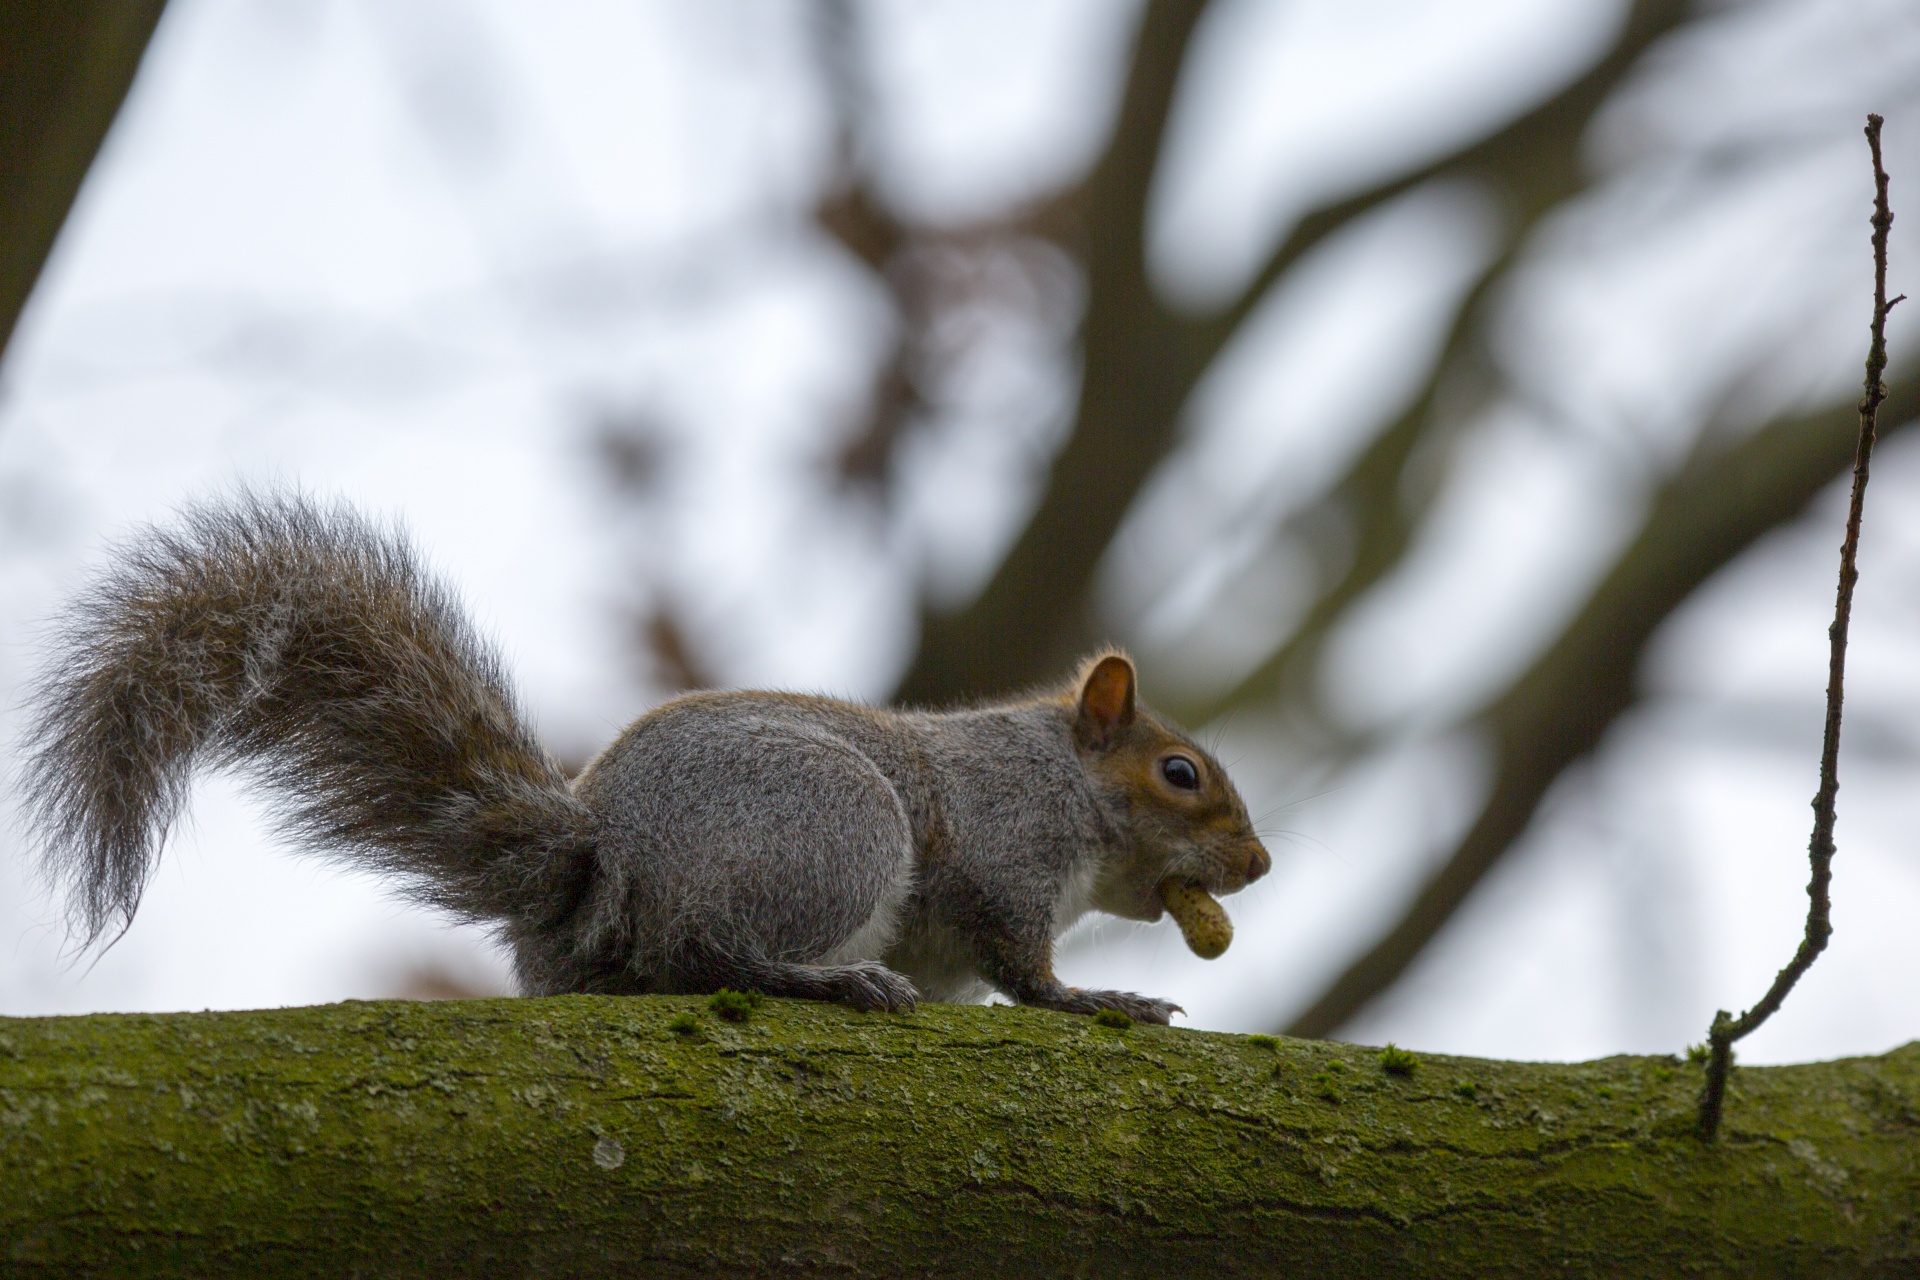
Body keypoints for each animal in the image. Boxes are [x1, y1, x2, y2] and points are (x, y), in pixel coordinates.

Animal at [22, 495, 1274, 1028]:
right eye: (1180, 774)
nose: (1258, 864)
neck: (1063, 774)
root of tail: (602, 865)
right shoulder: (1010, 847)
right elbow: (1026, 963)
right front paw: (1098, 996)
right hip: (838, 828)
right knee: (703, 951)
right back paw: (829, 977)